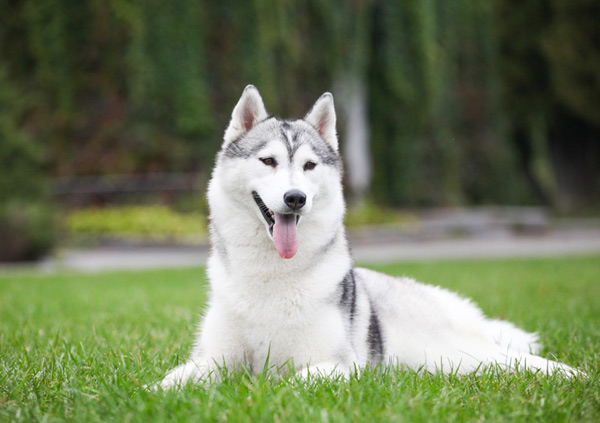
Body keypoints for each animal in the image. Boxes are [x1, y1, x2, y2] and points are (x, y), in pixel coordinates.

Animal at [158, 87, 576, 390]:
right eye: (268, 161)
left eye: (309, 165)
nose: (296, 198)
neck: (271, 276)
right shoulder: (211, 360)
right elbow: (170, 382)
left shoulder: (340, 366)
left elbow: (285, 382)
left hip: (458, 353)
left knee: (514, 360)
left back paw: (574, 375)